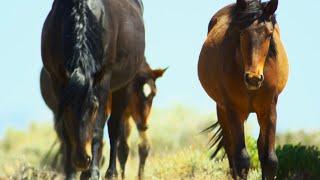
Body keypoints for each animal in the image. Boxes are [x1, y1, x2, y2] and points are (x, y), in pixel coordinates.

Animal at [40, 0, 146, 179]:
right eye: (67, 108)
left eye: (94, 108)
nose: (82, 160)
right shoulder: (58, 81)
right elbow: (65, 132)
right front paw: (71, 172)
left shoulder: (103, 79)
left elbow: (98, 129)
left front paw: (94, 172)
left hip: (123, 85)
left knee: (113, 126)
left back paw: (110, 172)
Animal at [199, 0, 288, 180]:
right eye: (241, 32)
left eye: (269, 34)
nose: (253, 78)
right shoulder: (234, 110)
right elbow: (241, 159)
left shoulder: (269, 109)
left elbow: (270, 159)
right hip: (222, 110)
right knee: (230, 150)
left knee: (260, 147)